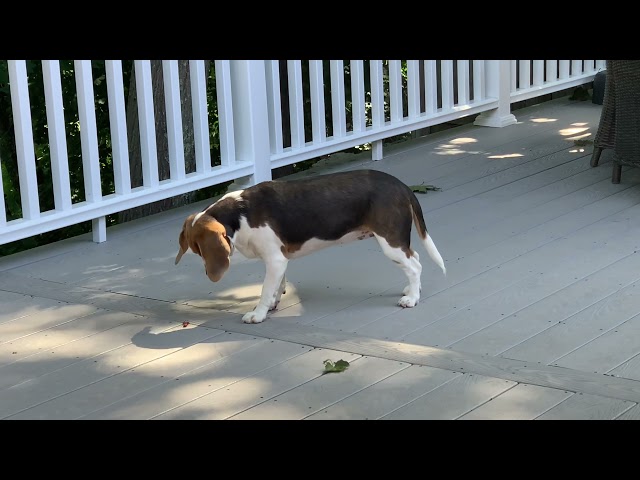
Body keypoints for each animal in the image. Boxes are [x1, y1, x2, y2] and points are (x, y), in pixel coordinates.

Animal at [175, 168, 444, 322]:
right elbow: (277, 287)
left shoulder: (274, 260)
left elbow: (265, 290)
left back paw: (412, 299)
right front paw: (272, 305)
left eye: (198, 249)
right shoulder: (279, 261)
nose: (206, 270)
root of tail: (401, 185)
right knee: (415, 259)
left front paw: (258, 314)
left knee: (415, 266)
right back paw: (412, 291)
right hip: (396, 242)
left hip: (390, 241)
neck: (239, 214)